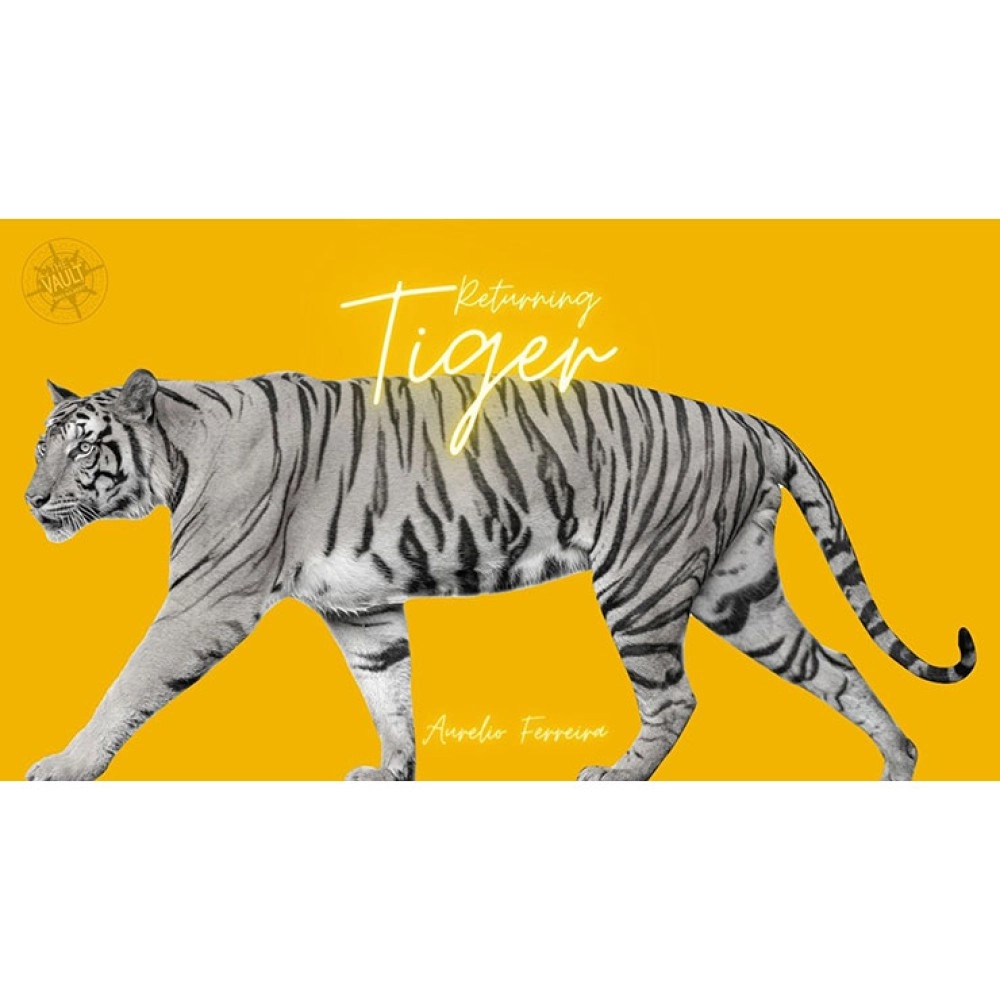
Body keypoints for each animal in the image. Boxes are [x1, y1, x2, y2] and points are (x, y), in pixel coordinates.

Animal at [24, 368, 976, 781]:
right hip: (737, 591)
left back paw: (617, 777)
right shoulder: (364, 611)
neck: (176, 452)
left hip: (642, 583)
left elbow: (127, 683)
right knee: (837, 665)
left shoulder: (204, 600)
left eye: (82, 449)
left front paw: (64, 767)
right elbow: (390, 693)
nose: (31, 501)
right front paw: (394, 773)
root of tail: (748, 420)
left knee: (676, 697)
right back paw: (899, 765)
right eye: (41, 446)